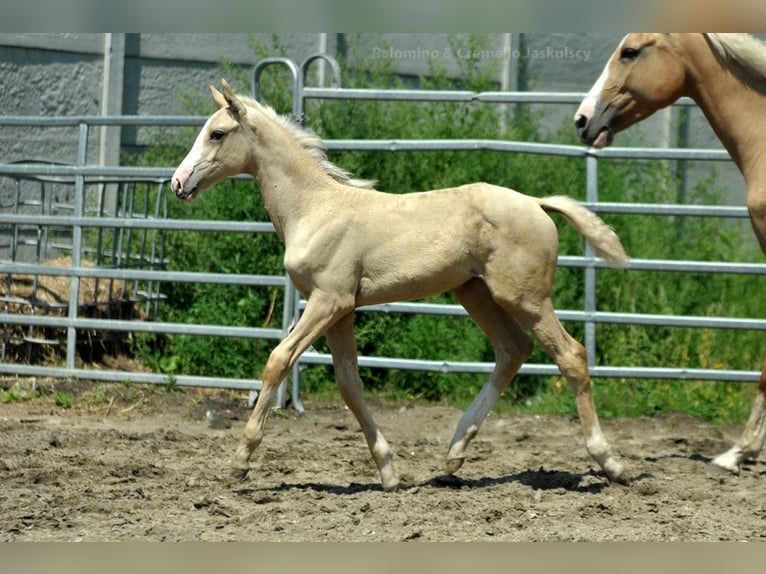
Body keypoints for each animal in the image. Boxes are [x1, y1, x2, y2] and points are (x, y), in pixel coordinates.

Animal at [172, 81, 632, 492]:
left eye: (217, 133)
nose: (178, 182)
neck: (314, 208)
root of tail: (536, 203)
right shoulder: (340, 310)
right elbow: (349, 383)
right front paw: (389, 472)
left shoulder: (327, 301)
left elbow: (278, 361)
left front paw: (239, 464)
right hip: (476, 293)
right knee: (513, 350)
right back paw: (454, 453)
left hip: (525, 297)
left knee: (571, 355)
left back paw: (611, 463)